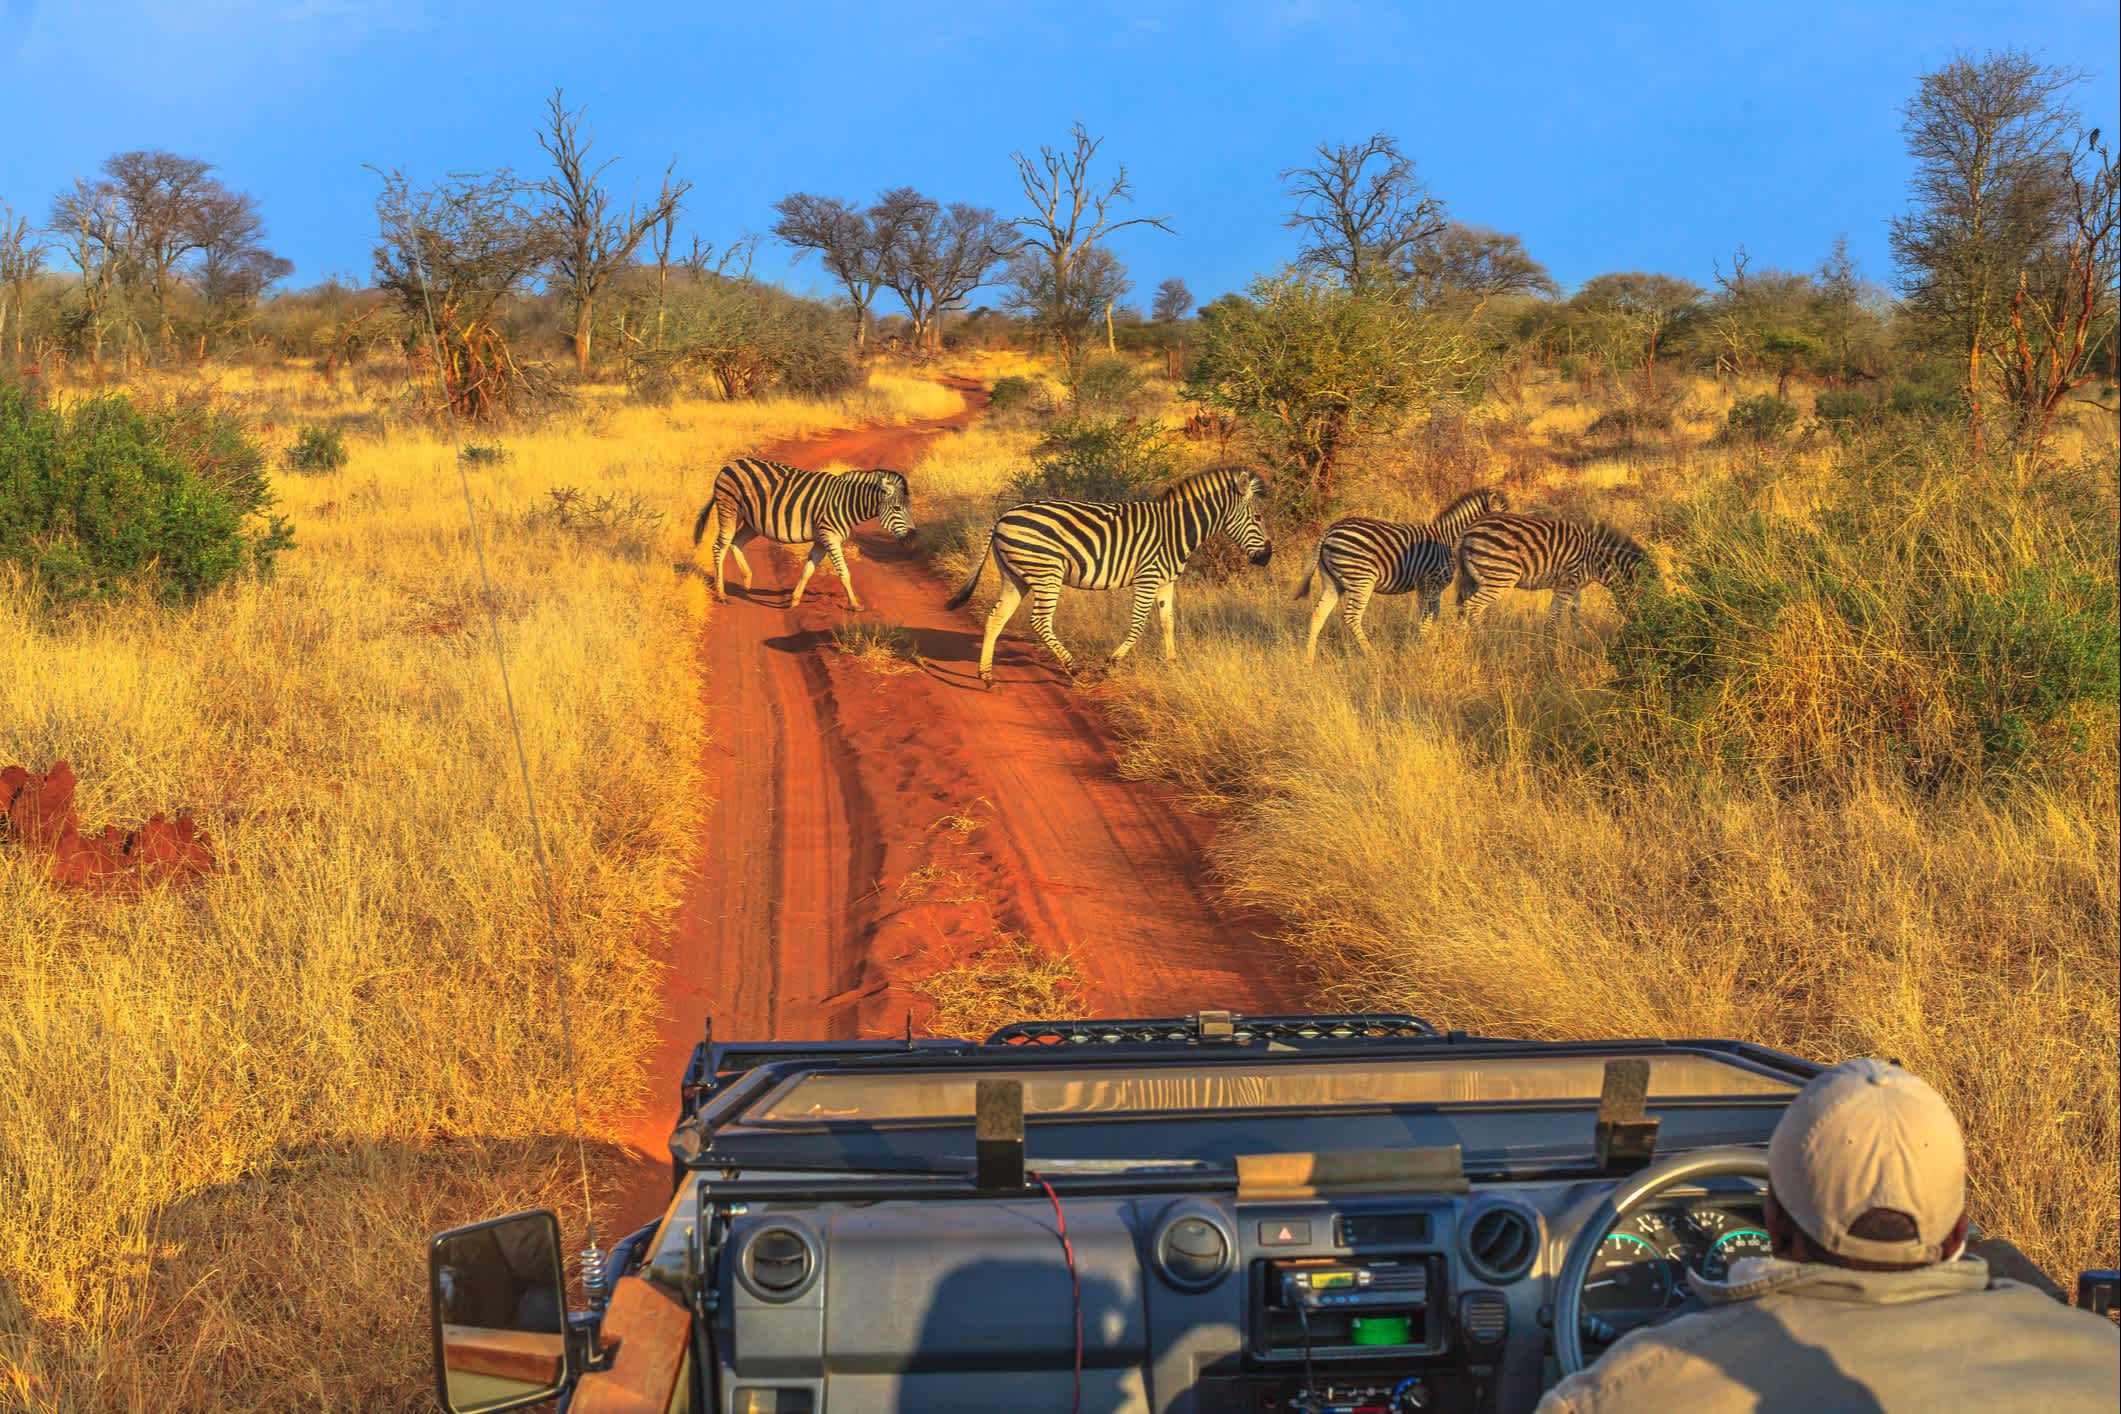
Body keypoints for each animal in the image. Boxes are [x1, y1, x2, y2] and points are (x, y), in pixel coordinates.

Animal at [682, 453, 907, 610]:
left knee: (736, 542)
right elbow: (844, 572)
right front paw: (855, 604)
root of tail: (729, 464)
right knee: (720, 546)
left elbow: (808, 569)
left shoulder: (821, 540)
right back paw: (721, 594)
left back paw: (746, 580)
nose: (911, 538)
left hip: (752, 522)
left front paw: (795, 600)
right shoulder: (830, 537)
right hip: (729, 509)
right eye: (897, 508)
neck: (846, 502)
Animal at [950, 464, 1272, 686]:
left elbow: (1168, 622)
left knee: (996, 617)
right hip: (1046, 572)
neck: (1177, 530)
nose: (1267, 557)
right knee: (1039, 621)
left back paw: (986, 676)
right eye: (1258, 518)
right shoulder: (1148, 577)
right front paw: (1110, 664)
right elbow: (1138, 625)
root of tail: (1003, 516)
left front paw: (1172, 663)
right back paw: (1073, 667)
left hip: (1014, 575)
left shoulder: (1166, 581)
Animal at [1289, 487, 1510, 665]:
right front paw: (1426, 647)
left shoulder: (1424, 586)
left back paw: (1309, 660)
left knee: (1318, 614)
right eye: (1504, 524)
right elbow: (1430, 617)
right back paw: (1372, 655)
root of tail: (1329, 530)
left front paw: (1426, 643)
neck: (1449, 539)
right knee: (1351, 617)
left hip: (1332, 581)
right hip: (1362, 579)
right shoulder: (1432, 582)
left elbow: (1427, 617)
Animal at [1450, 517, 1645, 644]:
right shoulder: (1567, 584)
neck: (1597, 558)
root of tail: (1466, 532)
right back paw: (1487, 643)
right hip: (1500, 577)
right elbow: (1553, 619)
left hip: (1472, 580)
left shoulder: (1575, 587)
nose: (1640, 635)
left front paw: (1579, 644)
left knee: (1462, 609)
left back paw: (1460, 645)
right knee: (1472, 607)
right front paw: (1549, 654)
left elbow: (1575, 616)